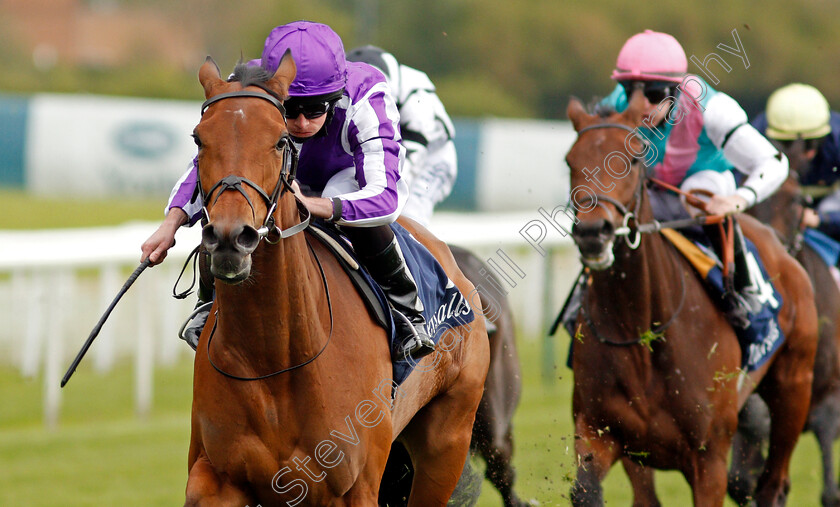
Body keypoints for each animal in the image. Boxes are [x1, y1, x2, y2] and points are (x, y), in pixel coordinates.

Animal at [184, 53, 486, 506]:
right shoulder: (217, 478)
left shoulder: (352, 487)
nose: (229, 237)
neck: (273, 359)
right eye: (199, 139)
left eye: (279, 141)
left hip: (447, 441)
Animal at [560, 92, 816, 507]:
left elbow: (770, 160)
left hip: (794, 386)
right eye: (571, 161)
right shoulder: (601, 432)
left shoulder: (709, 458)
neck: (640, 331)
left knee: (773, 483)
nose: (592, 233)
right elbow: (588, 490)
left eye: (633, 159)